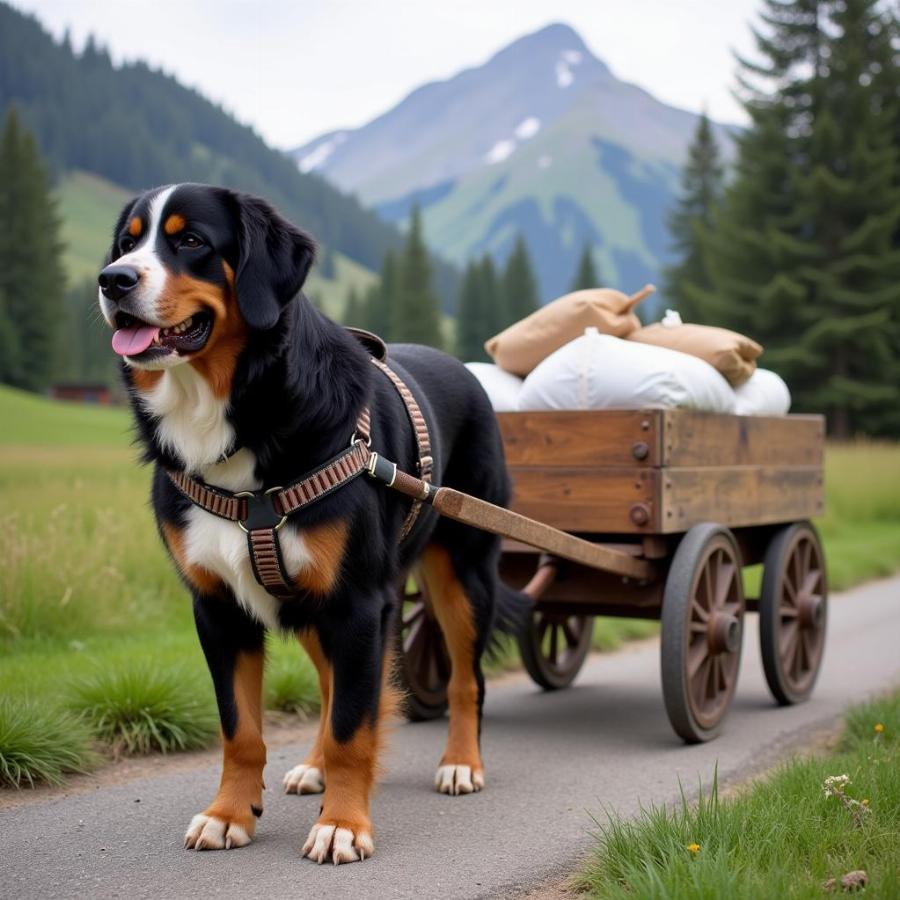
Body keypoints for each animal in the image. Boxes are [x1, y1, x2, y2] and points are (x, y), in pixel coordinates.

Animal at [96, 183, 528, 864]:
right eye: (125, 243)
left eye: (190, 240)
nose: (112, 280)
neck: (231, 416)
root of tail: (469, 371)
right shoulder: (219, 607)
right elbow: (243, 727)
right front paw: (229, 815)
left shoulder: (355, 601)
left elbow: (354, 723)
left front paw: (343, 824)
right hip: (309, 603)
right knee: (332, 687)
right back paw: (316, 767)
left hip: (462, 576)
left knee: (466, 680)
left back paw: (461, 763)